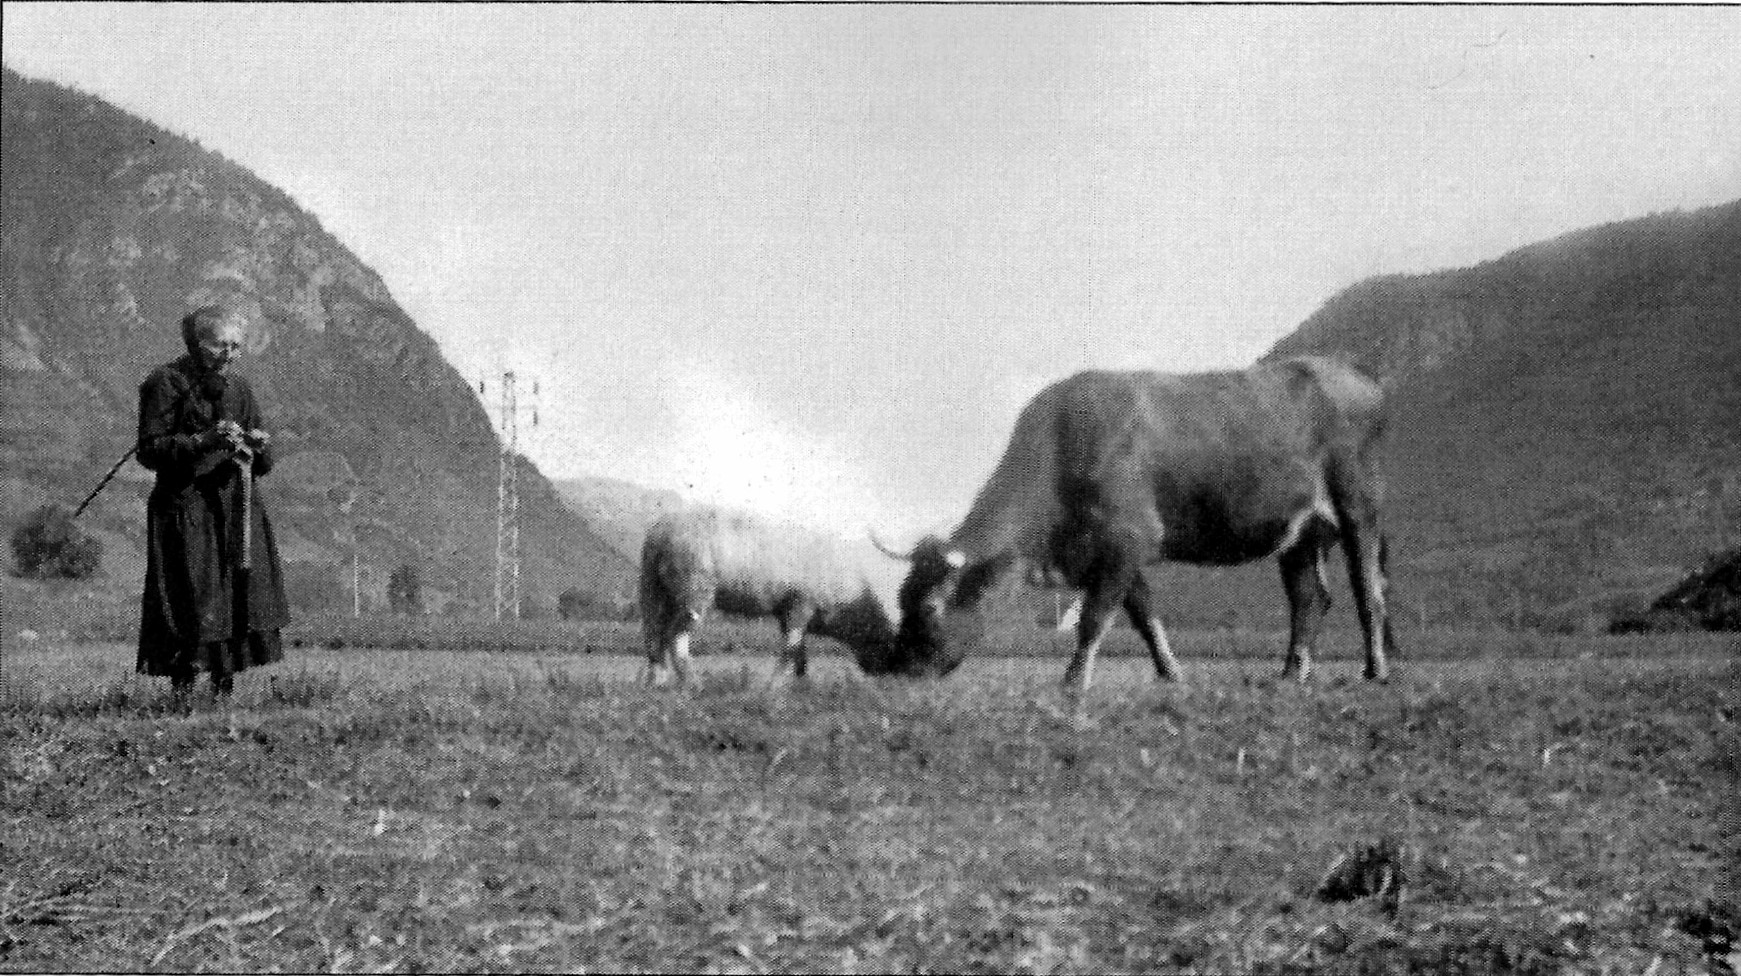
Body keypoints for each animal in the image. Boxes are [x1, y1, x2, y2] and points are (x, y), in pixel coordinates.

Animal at [644, 504, 912, 681]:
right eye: (888, 641)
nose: (887, 675)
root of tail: (660, 532)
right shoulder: (801, 605)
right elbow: (789, 650)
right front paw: (774, 687)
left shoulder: (788, 613)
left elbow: (799, 653)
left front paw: (800, 684)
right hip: (694, 593)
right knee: (674, 637)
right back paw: (690, 683)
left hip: (657, 590)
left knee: (653, 636)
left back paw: (657, 680)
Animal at [870, 356, 1399, 685]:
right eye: (901, 597)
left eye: (930, 608)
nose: (897, 668)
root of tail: (1350, 371)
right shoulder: (1116, 552)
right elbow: (1144, 615)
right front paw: (1170, 673)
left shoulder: (1126, 539)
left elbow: (1094, 618)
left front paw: (1073, 681)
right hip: (1301, 533)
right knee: (1309, 599)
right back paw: (1292, 673)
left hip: (1358, 506)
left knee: (1367, 590)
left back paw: (1375, 670)